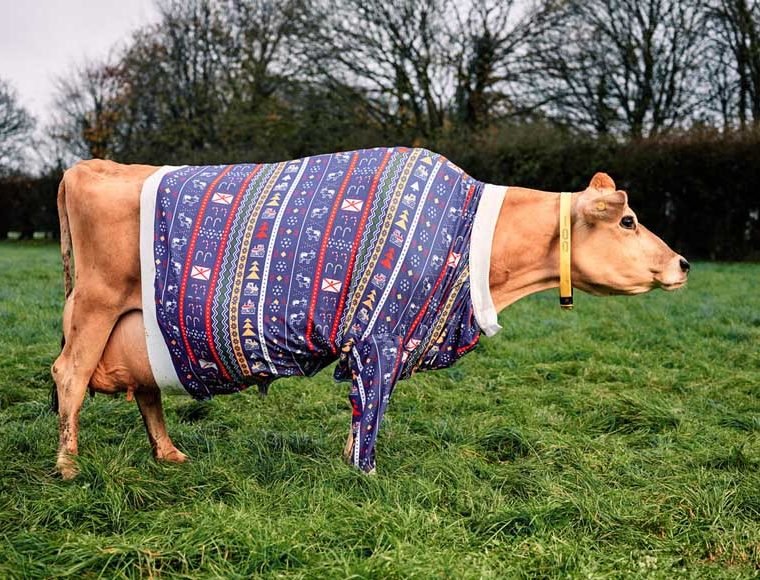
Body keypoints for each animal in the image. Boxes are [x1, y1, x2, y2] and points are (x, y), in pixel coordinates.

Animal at [50, 155, 689, 480]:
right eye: (628, 221)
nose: (682, 262)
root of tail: (87, 164)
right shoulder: (380, 336)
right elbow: (371, 408)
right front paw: (365, 475)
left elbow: (362, 408)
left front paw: (348, 464)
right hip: (96, 299)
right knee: (69, 374)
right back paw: (68, 466)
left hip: (134, 318)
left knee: (144, 387)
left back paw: (169, 455)